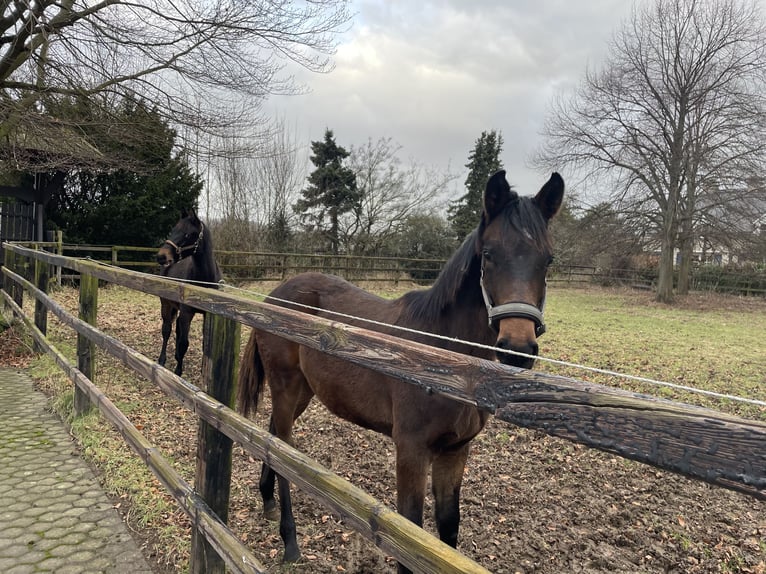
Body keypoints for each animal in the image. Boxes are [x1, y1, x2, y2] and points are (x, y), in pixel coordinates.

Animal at [155, 212, 222, 378]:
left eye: (188, 234)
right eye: (173, 230)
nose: (161, 256)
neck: (203, 280)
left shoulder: (207, 314)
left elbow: (204, 344)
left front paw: (203, 371)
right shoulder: (187, 312)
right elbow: (184, 343)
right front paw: (178, 371)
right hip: (166, 304)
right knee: (167, 330)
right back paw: (162, 359)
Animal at [238, 172, 564, 574]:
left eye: (548, 260)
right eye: (489, 254)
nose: (517, 348)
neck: (446, 364)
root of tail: (273, 296)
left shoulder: (455, 451)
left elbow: (446, 530)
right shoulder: (411, 450)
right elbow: (411, 534)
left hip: (303, 393)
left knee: (270, 437)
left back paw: (266, 501)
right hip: (286, 389)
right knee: (283, 451)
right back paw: (290, 540)